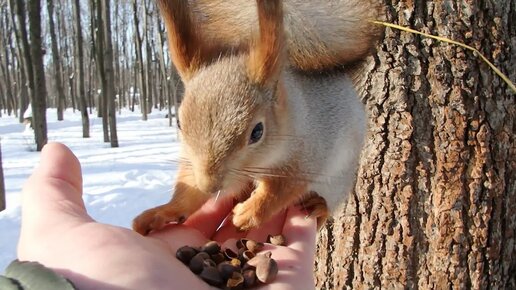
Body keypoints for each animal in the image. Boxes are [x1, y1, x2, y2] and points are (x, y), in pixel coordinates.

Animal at [133, 0, 382, 236]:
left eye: (257, 132)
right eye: (179, 123)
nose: (210, 186)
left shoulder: (306, 156)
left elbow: (280, 191)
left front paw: (251, 213)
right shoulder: (192, 161)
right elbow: (188, 191)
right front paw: (163, 212)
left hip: (337, 181)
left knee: (326, 205)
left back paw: (319, 208)